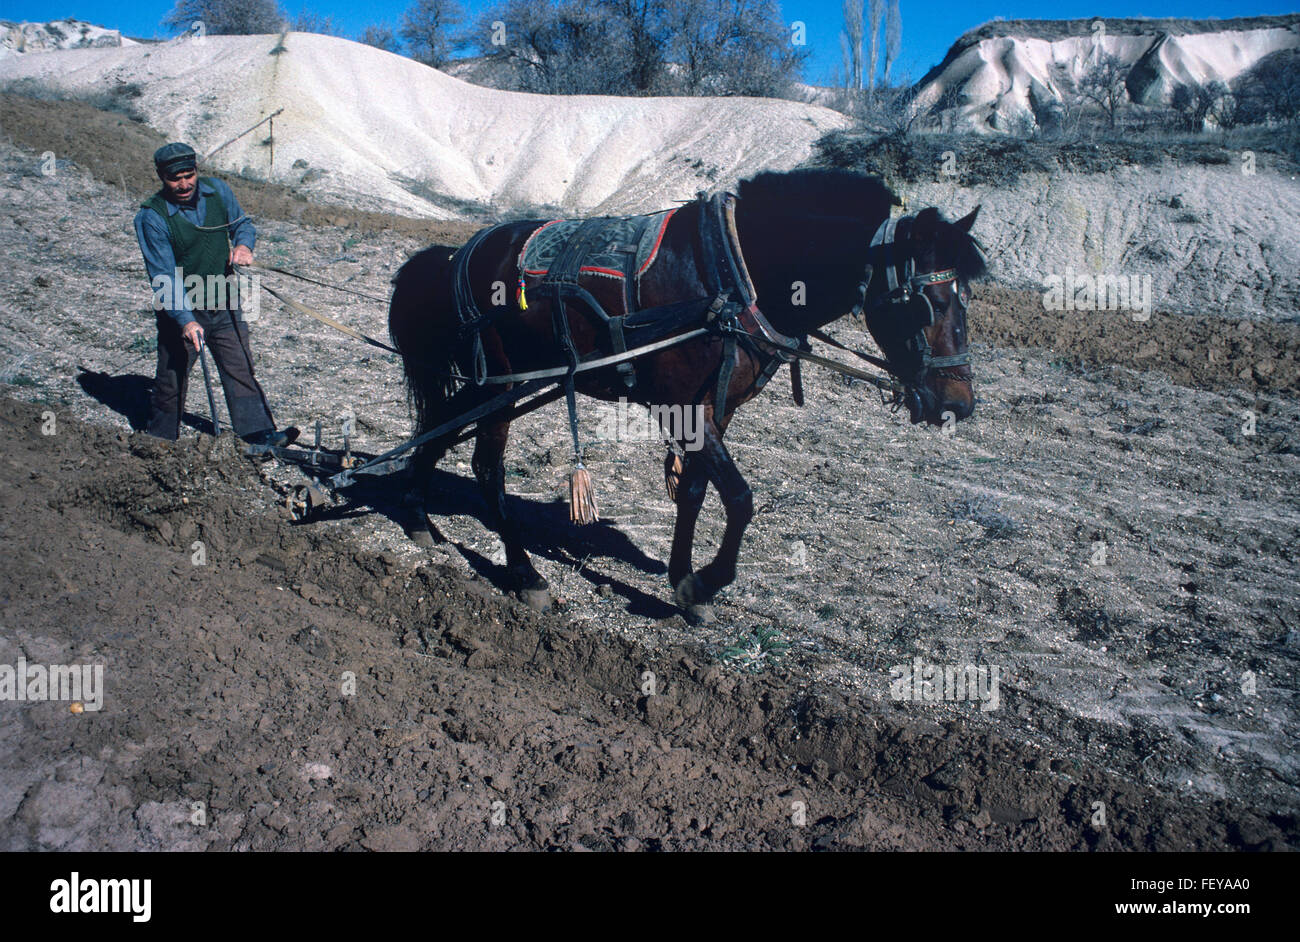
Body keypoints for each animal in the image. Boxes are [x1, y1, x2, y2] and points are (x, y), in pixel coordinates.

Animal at [384, 168, 982, 618]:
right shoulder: (682, 407)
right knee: (486, 467)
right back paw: (525, 575)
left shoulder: (716, 408)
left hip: (503, 381)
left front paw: (681, 580)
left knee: (437, 424)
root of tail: (458, 253)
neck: (734, 274)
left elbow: (695, 491)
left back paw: (415, 515)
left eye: (965, 297)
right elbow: (739, 498)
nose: (958, 404)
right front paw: (705, 582)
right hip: (504, 383)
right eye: (925, 303)